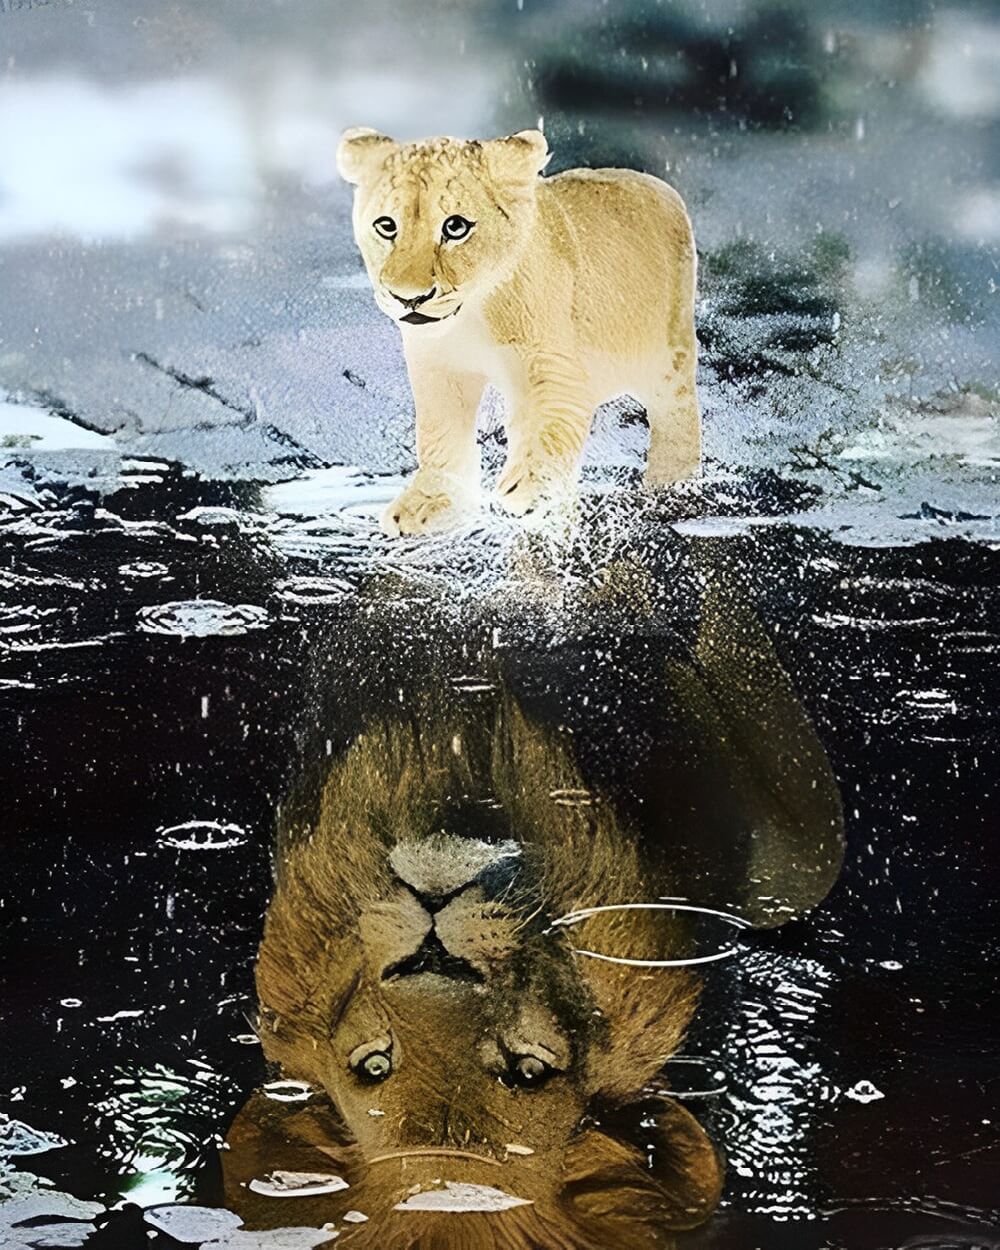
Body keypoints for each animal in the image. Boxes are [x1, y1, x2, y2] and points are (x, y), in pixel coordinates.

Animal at [336, 128, 701, 535]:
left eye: (455, 227)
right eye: (386, 226)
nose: (409, 298)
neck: (472, 314)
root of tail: (657, 184)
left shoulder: (558, 366)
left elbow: (551, 426)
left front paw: (528, 489)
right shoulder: (438, 366)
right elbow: (439, 434)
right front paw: (432, 503)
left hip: (668, 354)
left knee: (678, 414)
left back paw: (671, 484)